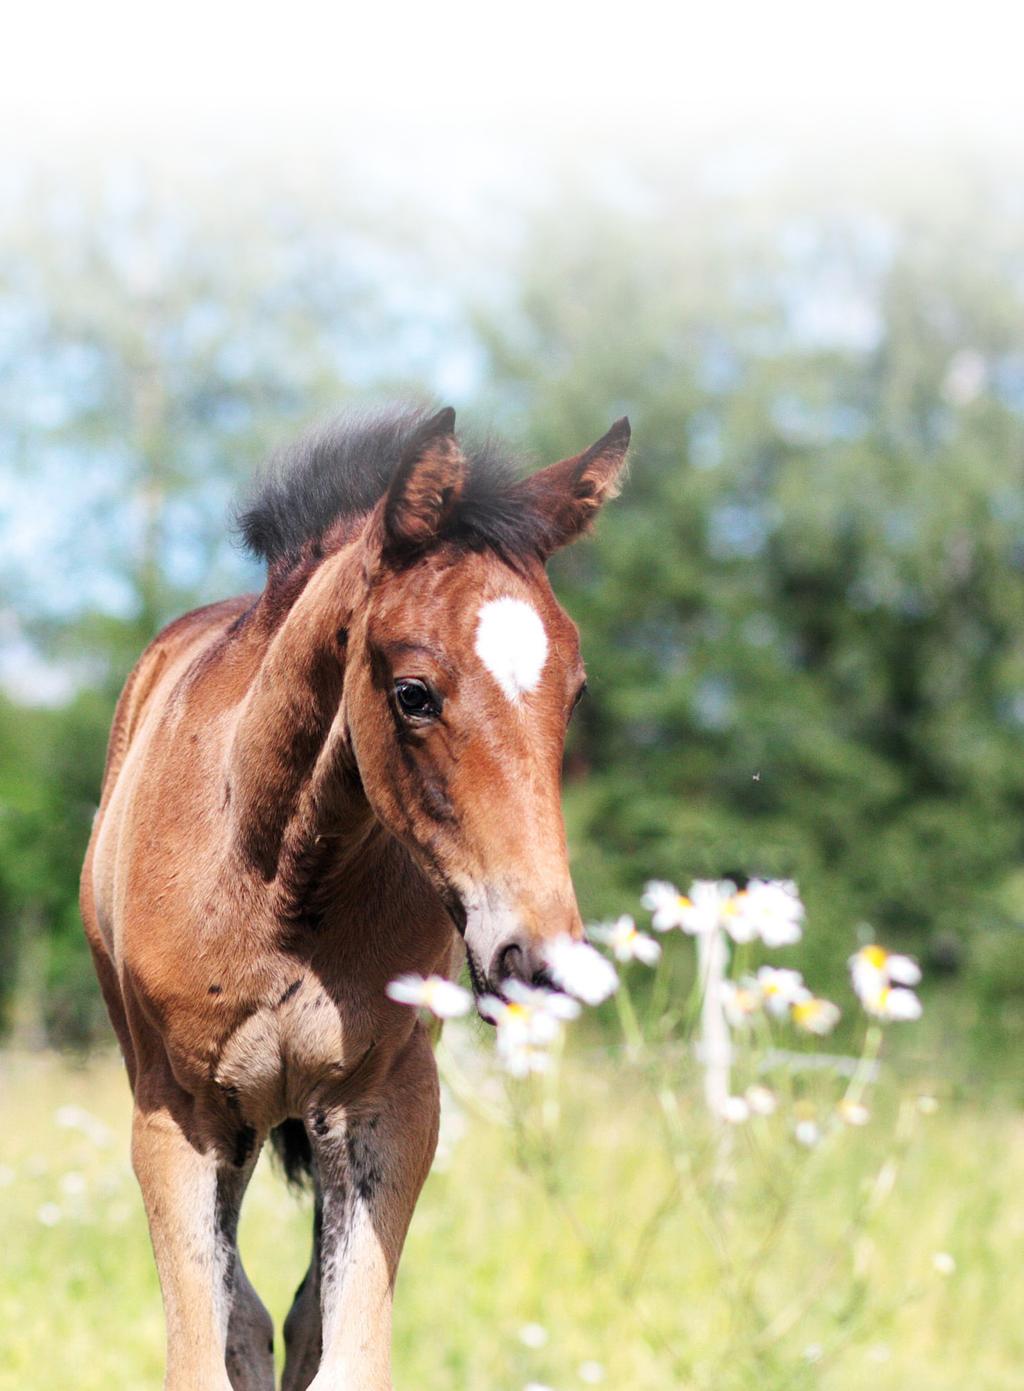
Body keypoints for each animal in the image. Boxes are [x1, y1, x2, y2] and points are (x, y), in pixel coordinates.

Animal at [82, 400, 631, 1379]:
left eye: (574, 692)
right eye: (413, 693)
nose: (537, 959)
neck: (278, 883)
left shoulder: (390, 1102)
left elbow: (348, 1351)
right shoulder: (175, 1118)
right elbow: (207, 1349)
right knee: (245, 1313)